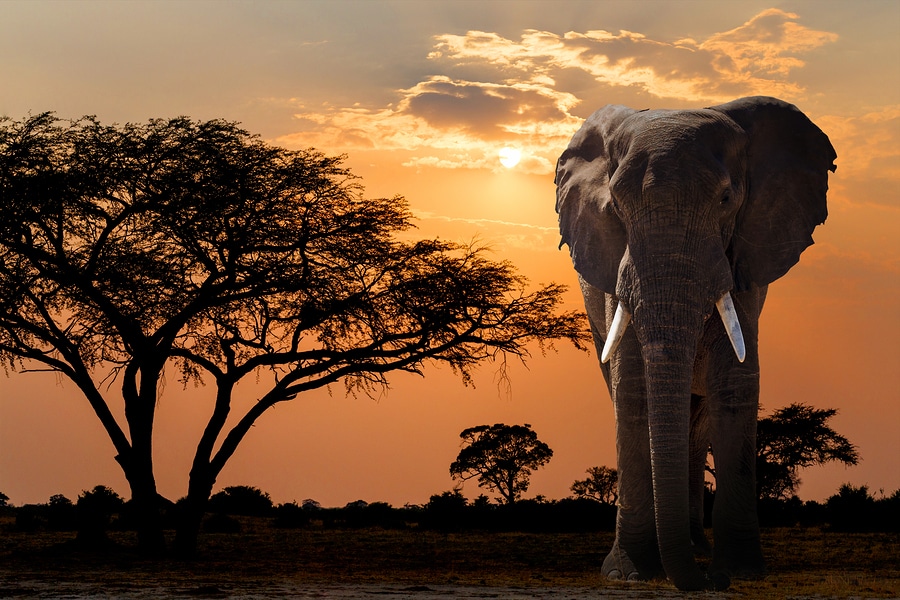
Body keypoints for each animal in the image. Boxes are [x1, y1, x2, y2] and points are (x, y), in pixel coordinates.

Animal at [556, 96, 836, 588]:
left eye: (726, 200)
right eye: (616, 207)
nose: (709, 583)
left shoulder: (744, 265)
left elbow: (735, 386)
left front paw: (740, 572)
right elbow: (632, 392)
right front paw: (630, 573)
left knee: (698, 420)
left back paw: (697, 549)